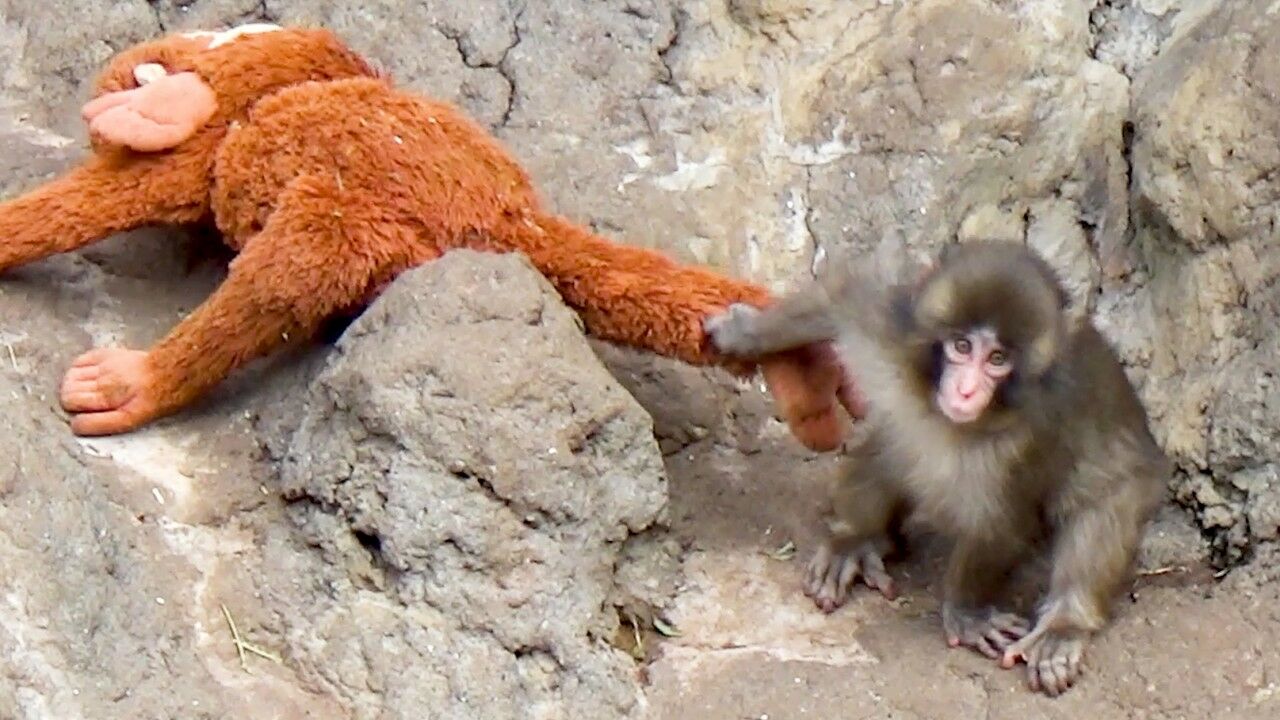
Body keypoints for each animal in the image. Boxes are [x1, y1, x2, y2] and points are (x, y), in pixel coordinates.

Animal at [703, 240, 1169, 696]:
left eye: (997, 358)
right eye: (961, 347)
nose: (965, 391)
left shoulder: (1035, 432)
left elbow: (1002, 522)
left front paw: (965, 609)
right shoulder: (893, 328)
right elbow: (836, 298)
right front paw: (744, 334)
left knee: (1105, 509)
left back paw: (1066, 621)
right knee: (898, 443)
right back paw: (858, 538)